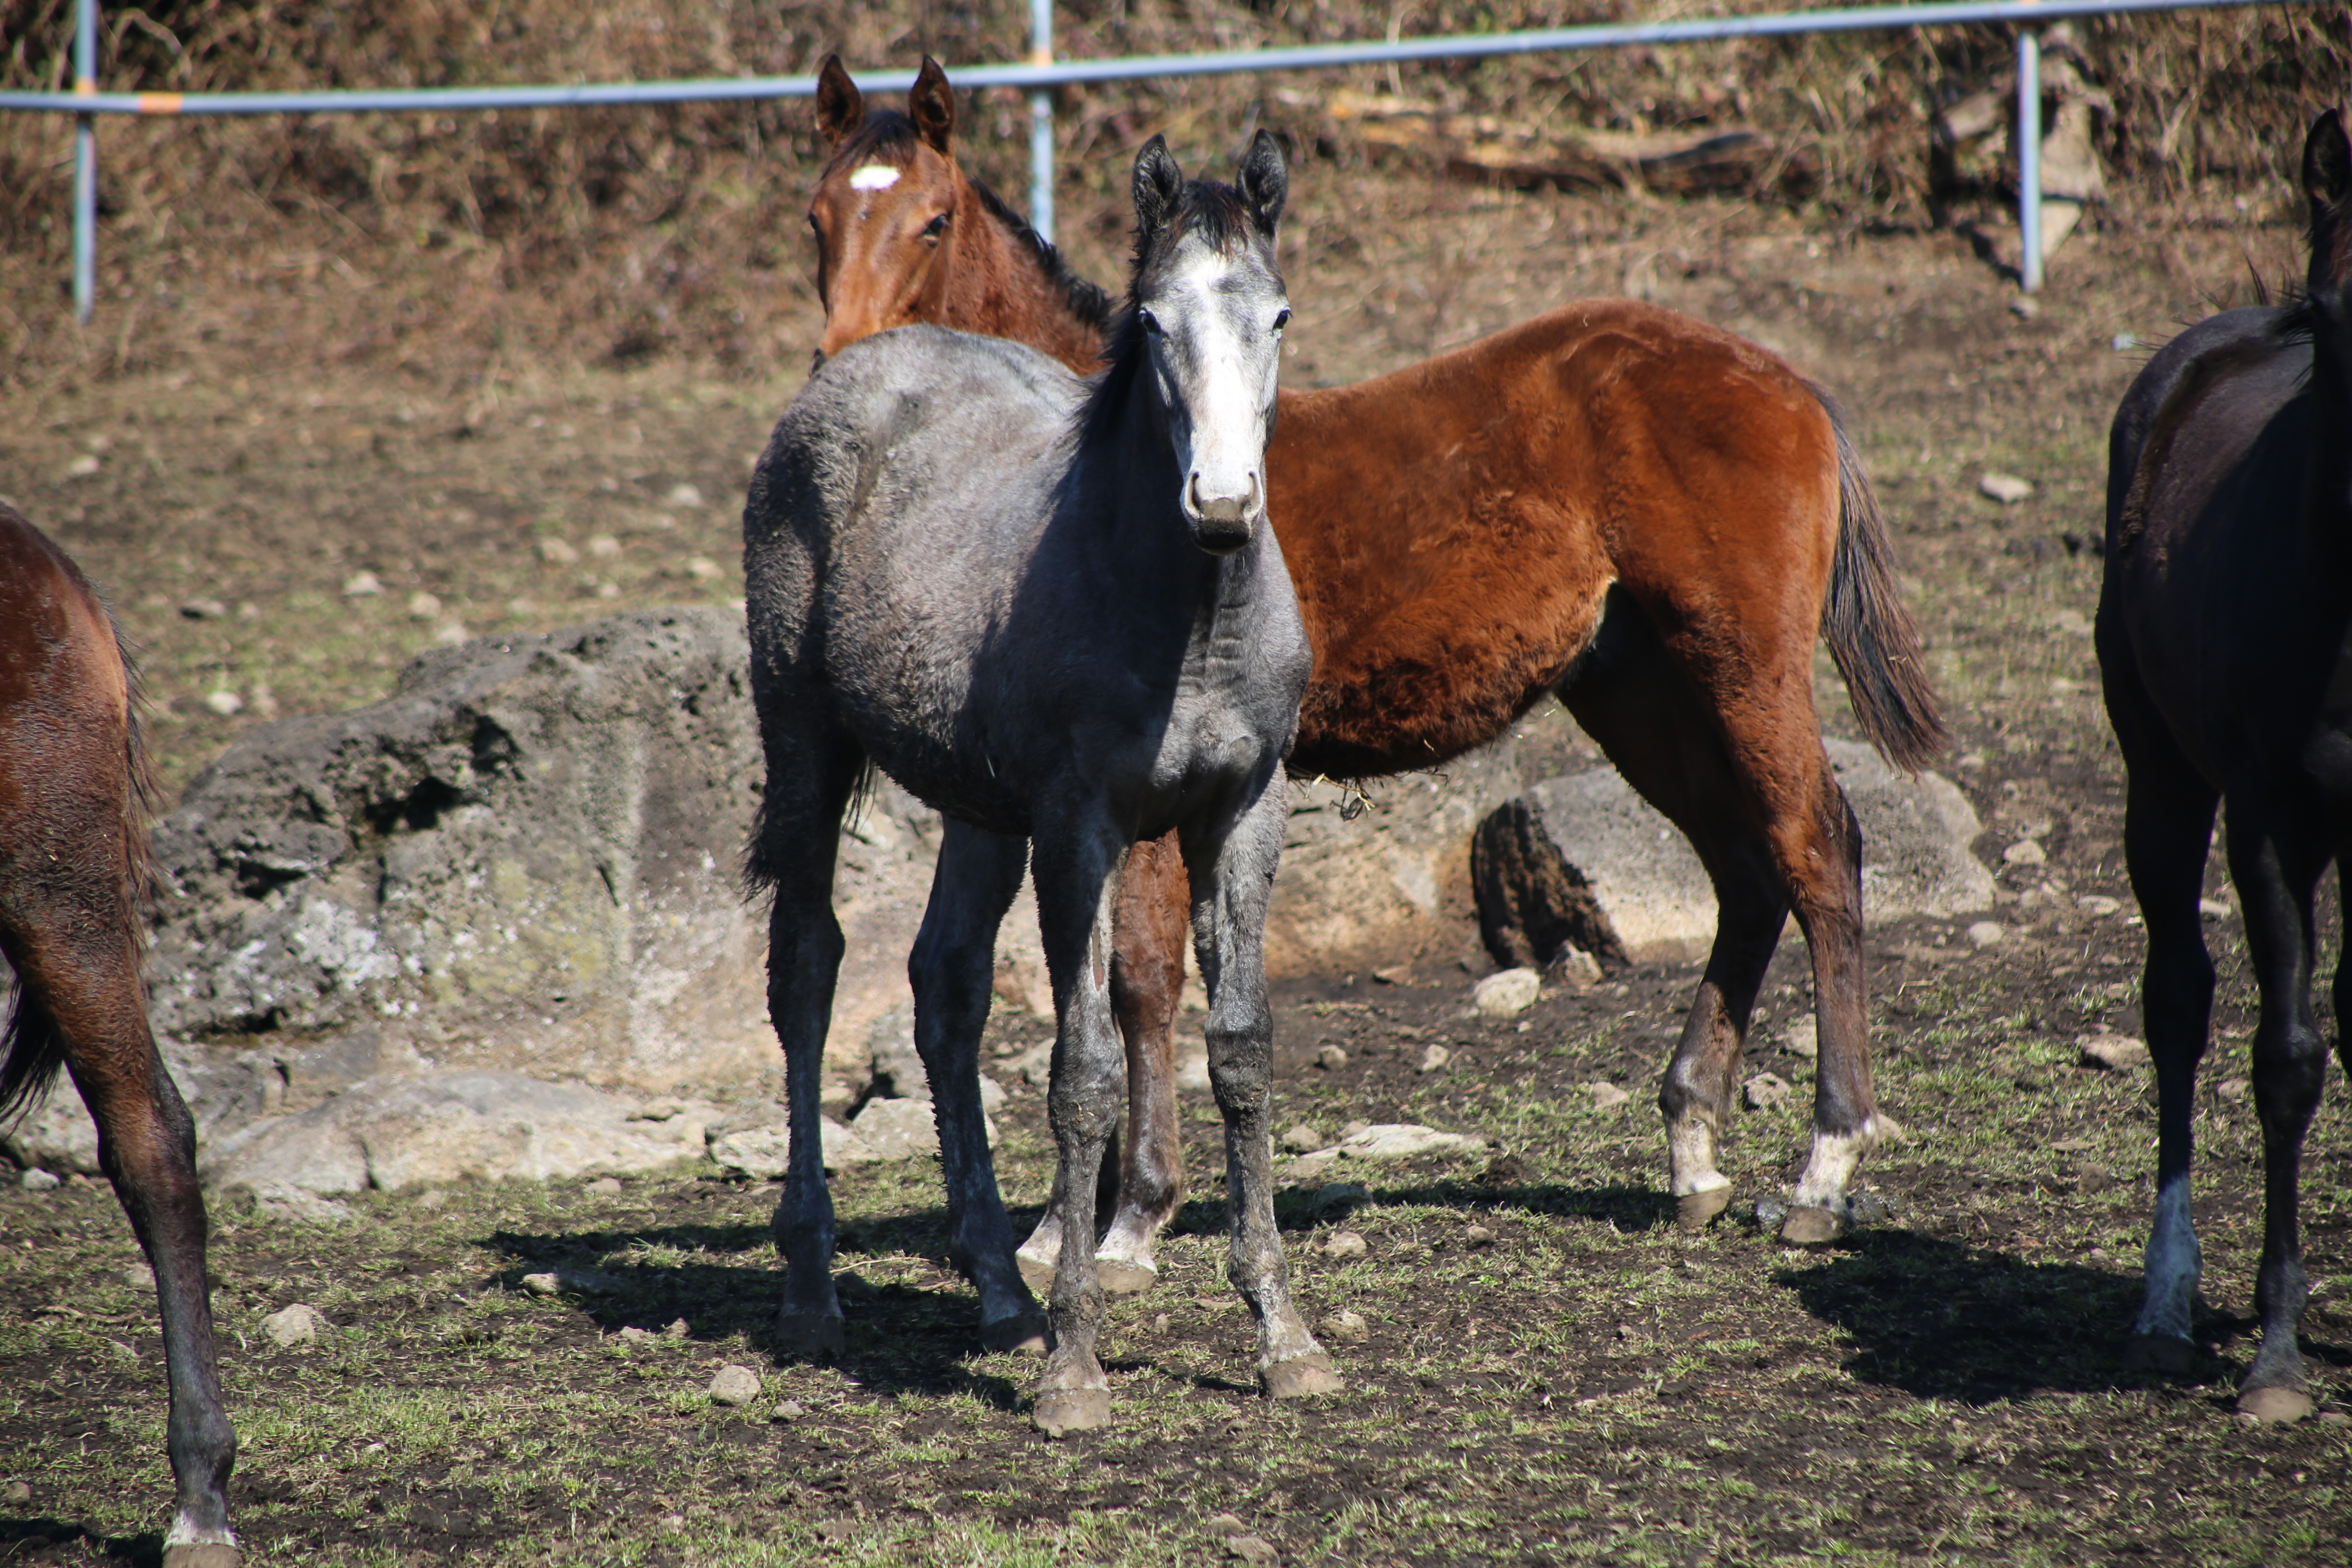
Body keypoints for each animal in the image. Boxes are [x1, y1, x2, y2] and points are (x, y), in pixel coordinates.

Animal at [743, 135, 1336, 1439]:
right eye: (1153, 322)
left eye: (1277, 313)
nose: (1225, 505)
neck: (1185, 616)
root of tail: (853, 368)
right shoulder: (1082, 828)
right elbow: (1085, 1072)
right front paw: (1075, 1367)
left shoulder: (1243, 812)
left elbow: (1241, 1050)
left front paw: (1285, 1336)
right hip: (805, 744)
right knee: (807, 970)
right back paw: (813, 1291)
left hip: (978, 811)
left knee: (945, 985)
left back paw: (998, 1289)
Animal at [809, 61, 1947, 1288]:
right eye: (817, 215)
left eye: (932, 220)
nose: (842, 360)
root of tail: (1788, 381)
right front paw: (1074, 1220)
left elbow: (1143, 981)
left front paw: (1127, 1222)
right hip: (1636, 690)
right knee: (1744, 867)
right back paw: (1691, 1152)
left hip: (1741, 662)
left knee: (1817, 850)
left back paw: (1821, 1173)